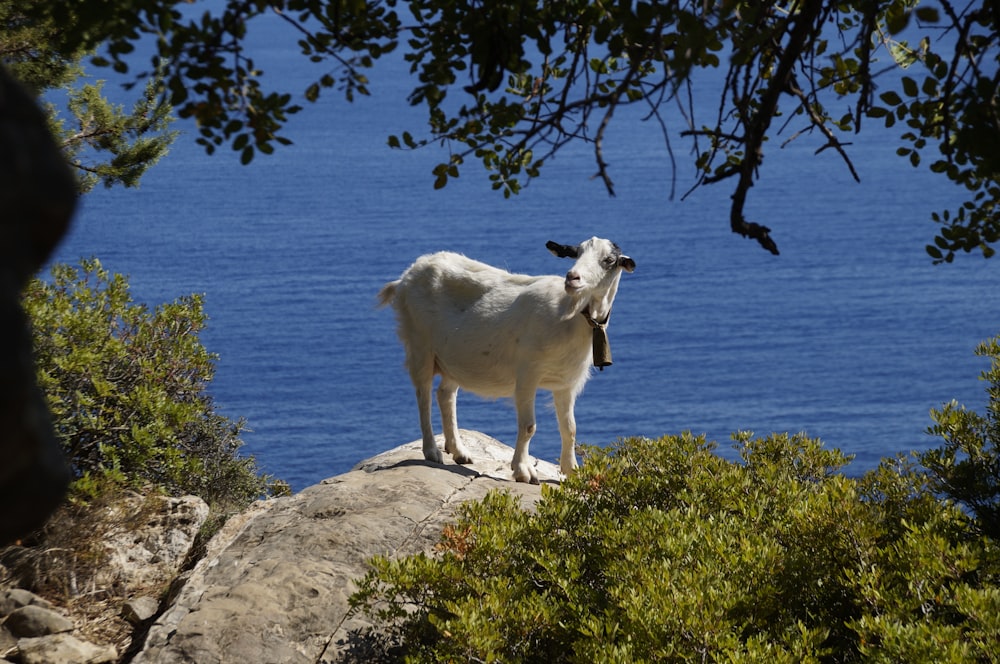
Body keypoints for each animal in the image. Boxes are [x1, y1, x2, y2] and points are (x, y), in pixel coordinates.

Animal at [378, 237, 636, 482]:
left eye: (609, 260)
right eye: (576, 253)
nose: (572, 278)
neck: (569, 315)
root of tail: (405, 278)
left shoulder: (566, 382)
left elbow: (570, 428)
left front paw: (572, 471)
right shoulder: (528, 373)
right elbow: (529, 426)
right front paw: (523, 471)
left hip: (454, 357)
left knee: (445, 394)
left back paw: (459, 451)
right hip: (420, 345)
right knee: (423, 396)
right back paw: (432, 451)